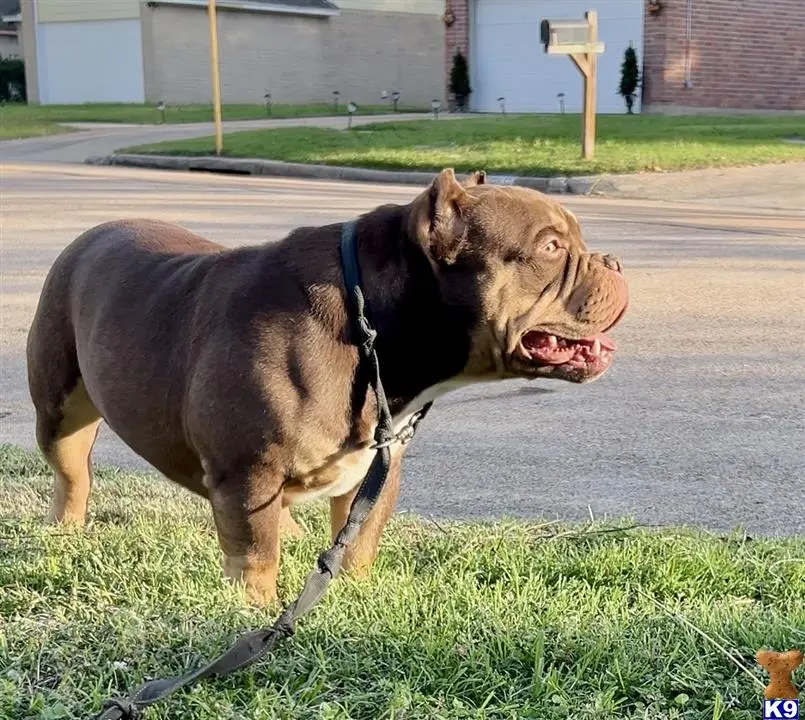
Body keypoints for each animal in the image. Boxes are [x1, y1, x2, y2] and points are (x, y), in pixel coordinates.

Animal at [26, 167, 628, 600]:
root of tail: (90, 235)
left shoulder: (377, 469)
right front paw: (253, 610)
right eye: (550, 247)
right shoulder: (247, 467)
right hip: (60, 414)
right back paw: (65, 530)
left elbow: (358, 539)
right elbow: (254, 554)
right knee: (74, 474)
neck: (371, 326)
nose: (616, 261)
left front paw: (355, 597)